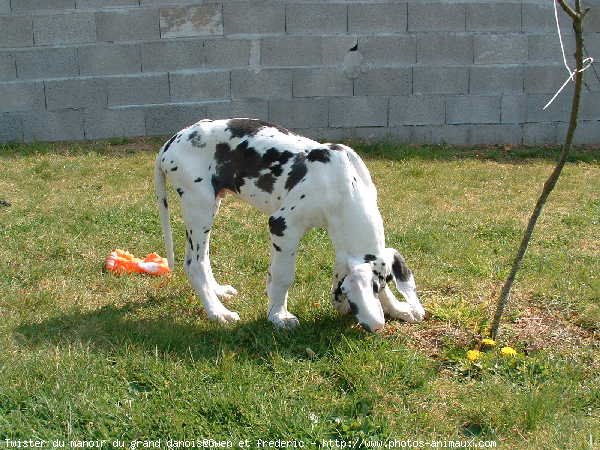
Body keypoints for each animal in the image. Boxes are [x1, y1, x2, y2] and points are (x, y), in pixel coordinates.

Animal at [156, 118, 426, 332]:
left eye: (378, 287)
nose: (347, 312)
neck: (344, 185)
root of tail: (172, 141)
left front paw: (399, 308)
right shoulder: (283, 227)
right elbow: (283, 275)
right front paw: (278, 316)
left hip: (211, 206)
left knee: (203, 256)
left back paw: (218, 291)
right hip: (199, 206)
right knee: (194, 263)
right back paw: (217, 312)